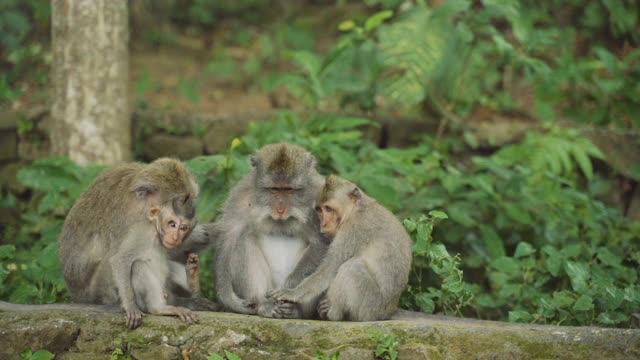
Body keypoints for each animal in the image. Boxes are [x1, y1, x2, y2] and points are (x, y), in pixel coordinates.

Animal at [212, 143, 328, 318]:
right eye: (274, 189)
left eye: (288, 190)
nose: (280, 209)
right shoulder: (241, 195)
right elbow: (229, 237)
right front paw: (228, 299)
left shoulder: (319, 194)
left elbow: (322, 243)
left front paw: (287, 289)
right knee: (243, 238)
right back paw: (263, 305)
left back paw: (295, 311)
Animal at [268, 175, 410, 320]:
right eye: (320, 210)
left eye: (329, 209)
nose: (323, 224)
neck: (357, 210)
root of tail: (389, 311)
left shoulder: (352, 230)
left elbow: (329, 269)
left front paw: (292, 293)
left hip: (370, 307)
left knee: (351, 268)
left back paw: (333, 314)